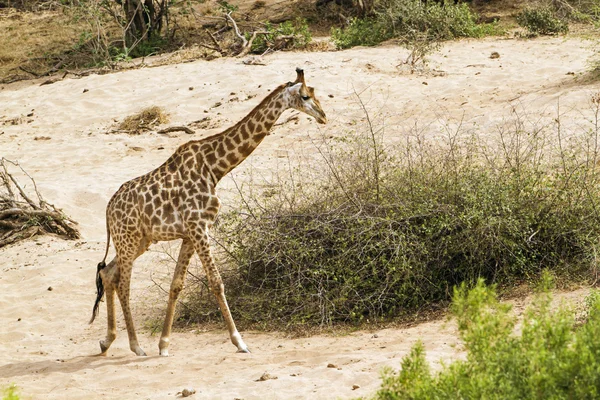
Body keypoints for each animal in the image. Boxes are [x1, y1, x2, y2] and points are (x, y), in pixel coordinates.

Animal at [88, 68, 328, 356]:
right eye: (305, 96)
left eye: (314, 92)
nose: (324, 116)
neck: (215, 168)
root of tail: (108, 208)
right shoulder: (199, 228)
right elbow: (216, 282)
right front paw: (239, 342)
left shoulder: (190, 233)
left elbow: (176, 285)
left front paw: (164, 344)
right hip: (129, 238)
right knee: (123, 283)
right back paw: (135, 346)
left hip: (141, 240)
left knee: (108, 274)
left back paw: (107, 340)